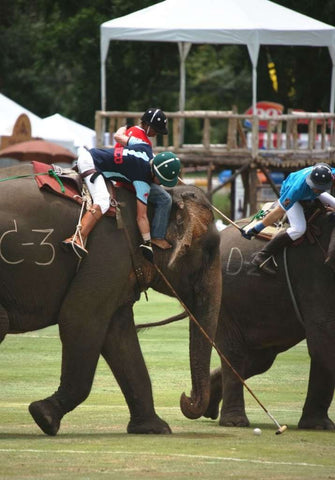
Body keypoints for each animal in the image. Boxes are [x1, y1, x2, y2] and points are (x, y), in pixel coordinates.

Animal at [0, 163, 223, 436]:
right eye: (209, 251)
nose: (184, 397)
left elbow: (119, 334)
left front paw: (153, 428)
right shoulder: (108, 250)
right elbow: (79, 317)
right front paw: (44, 417)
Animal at [205, 210, 335, 432]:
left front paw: (320, 426)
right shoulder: (315, 273)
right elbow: (323, 335)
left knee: (259, 360)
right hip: (223, 297)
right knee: (235, 353)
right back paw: (234, 422)